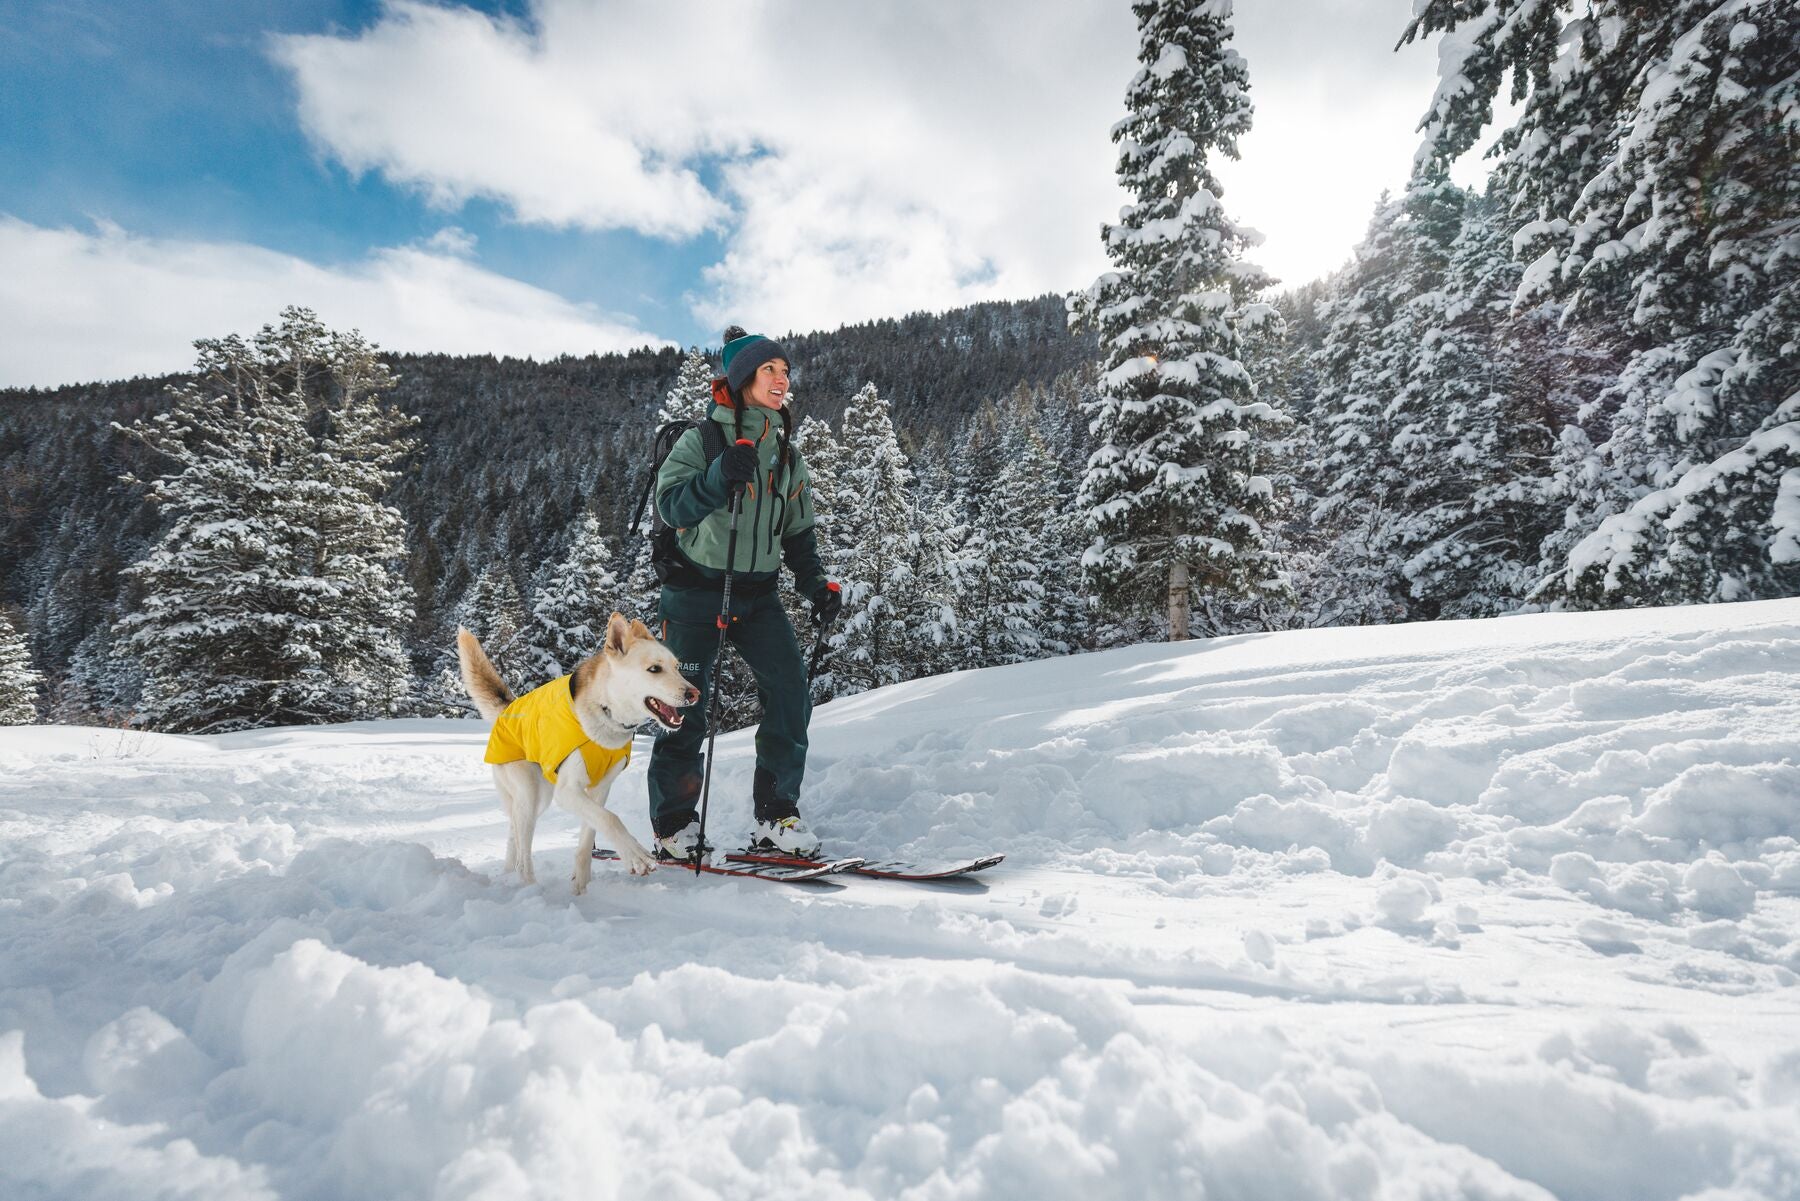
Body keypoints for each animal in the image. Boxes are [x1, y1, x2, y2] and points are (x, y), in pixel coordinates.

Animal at [453, 619, 698, 893]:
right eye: (654, 669)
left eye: (677, 667)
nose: (694, 693)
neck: (606, 713)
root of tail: (508, 708)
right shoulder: (568, 791)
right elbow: (611, 819)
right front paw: (635, 855)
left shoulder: (599, 790)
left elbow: (589, 836)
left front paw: (580, 886)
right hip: (531, 796)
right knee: (523, 852)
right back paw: (530, 887)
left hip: (535, 800)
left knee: (512, 835)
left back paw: (508, 875)